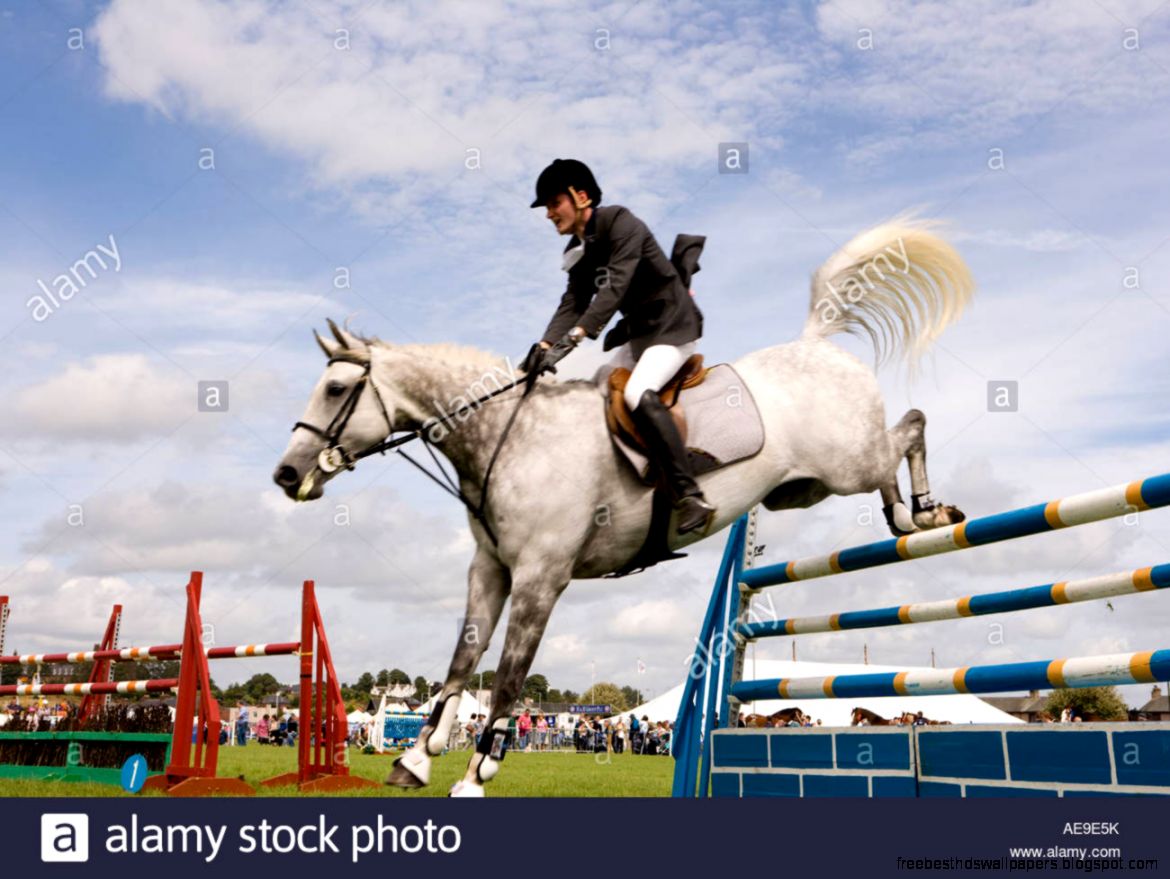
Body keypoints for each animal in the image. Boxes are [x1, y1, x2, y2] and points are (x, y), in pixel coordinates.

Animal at [273, 216, 974, 796]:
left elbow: (507, 676)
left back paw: (926, 514)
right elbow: (463, 659)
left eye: (335, 389)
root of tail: (815, 344)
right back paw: (902, 516)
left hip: (846, 461)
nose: (287, 475)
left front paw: (475, 776)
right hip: (803, 489)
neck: (510, 437)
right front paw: (418, 758)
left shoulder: (541, 578)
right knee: (891, 454)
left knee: (909, 428)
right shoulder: (490, 569)